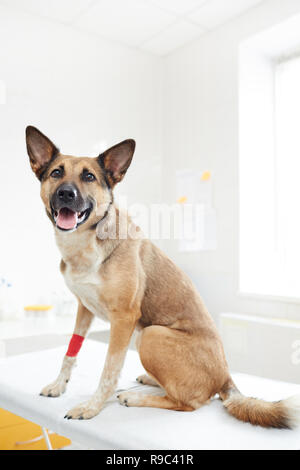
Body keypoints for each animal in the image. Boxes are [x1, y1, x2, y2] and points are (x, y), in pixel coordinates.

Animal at [26, 126, 300, 426]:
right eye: (56, 173)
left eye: (89, 176)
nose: (66, 193)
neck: (85, 244)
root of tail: (226, 377)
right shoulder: (83, 309)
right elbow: (71, 351)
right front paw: (59, 385)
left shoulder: (124, 319)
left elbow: (110, 369)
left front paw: (92, 406)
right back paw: (149, 379)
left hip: (149, 334)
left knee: (190, 402)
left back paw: (135, 397)